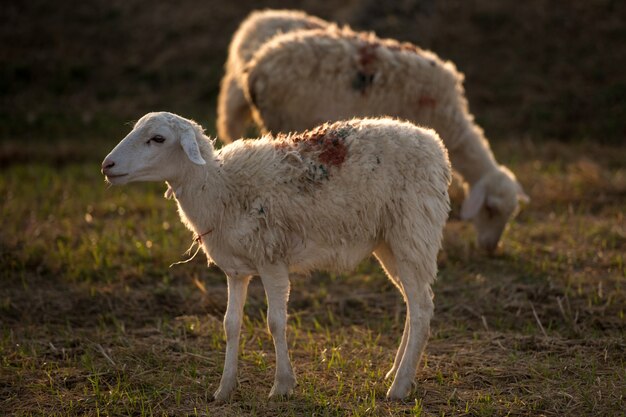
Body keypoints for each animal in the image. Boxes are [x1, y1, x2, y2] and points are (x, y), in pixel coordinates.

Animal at [101, 110, 448, 400]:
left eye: (158, 138)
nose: (107, 166)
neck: (219, 187)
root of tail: (434, 143)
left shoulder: (271, 260)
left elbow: (276, 322)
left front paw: (282, 385)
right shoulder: (236, 270)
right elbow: (230, 324)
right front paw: (224, 389)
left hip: (413, 231)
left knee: (421, 308)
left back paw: (398, 387)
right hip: (389, 243)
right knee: (414, 303)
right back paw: (397, 372)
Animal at [241, 27, 528, 252]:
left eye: (509, 214)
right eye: (490, 209)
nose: (490, 248)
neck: (452, 125)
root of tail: (256, 67)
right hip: (283, 119)